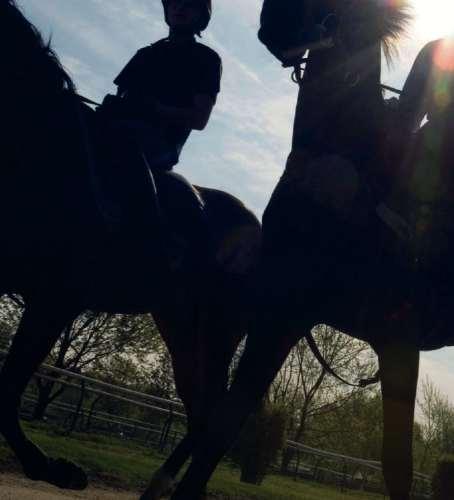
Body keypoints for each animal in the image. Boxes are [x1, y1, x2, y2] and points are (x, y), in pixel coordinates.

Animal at [0, 2, 261, 499]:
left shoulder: (55, 300)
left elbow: (7, 385)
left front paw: (52, 468)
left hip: (219, 331)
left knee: (214, 414)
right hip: (179, 325)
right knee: (199, 409)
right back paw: (160, 486)